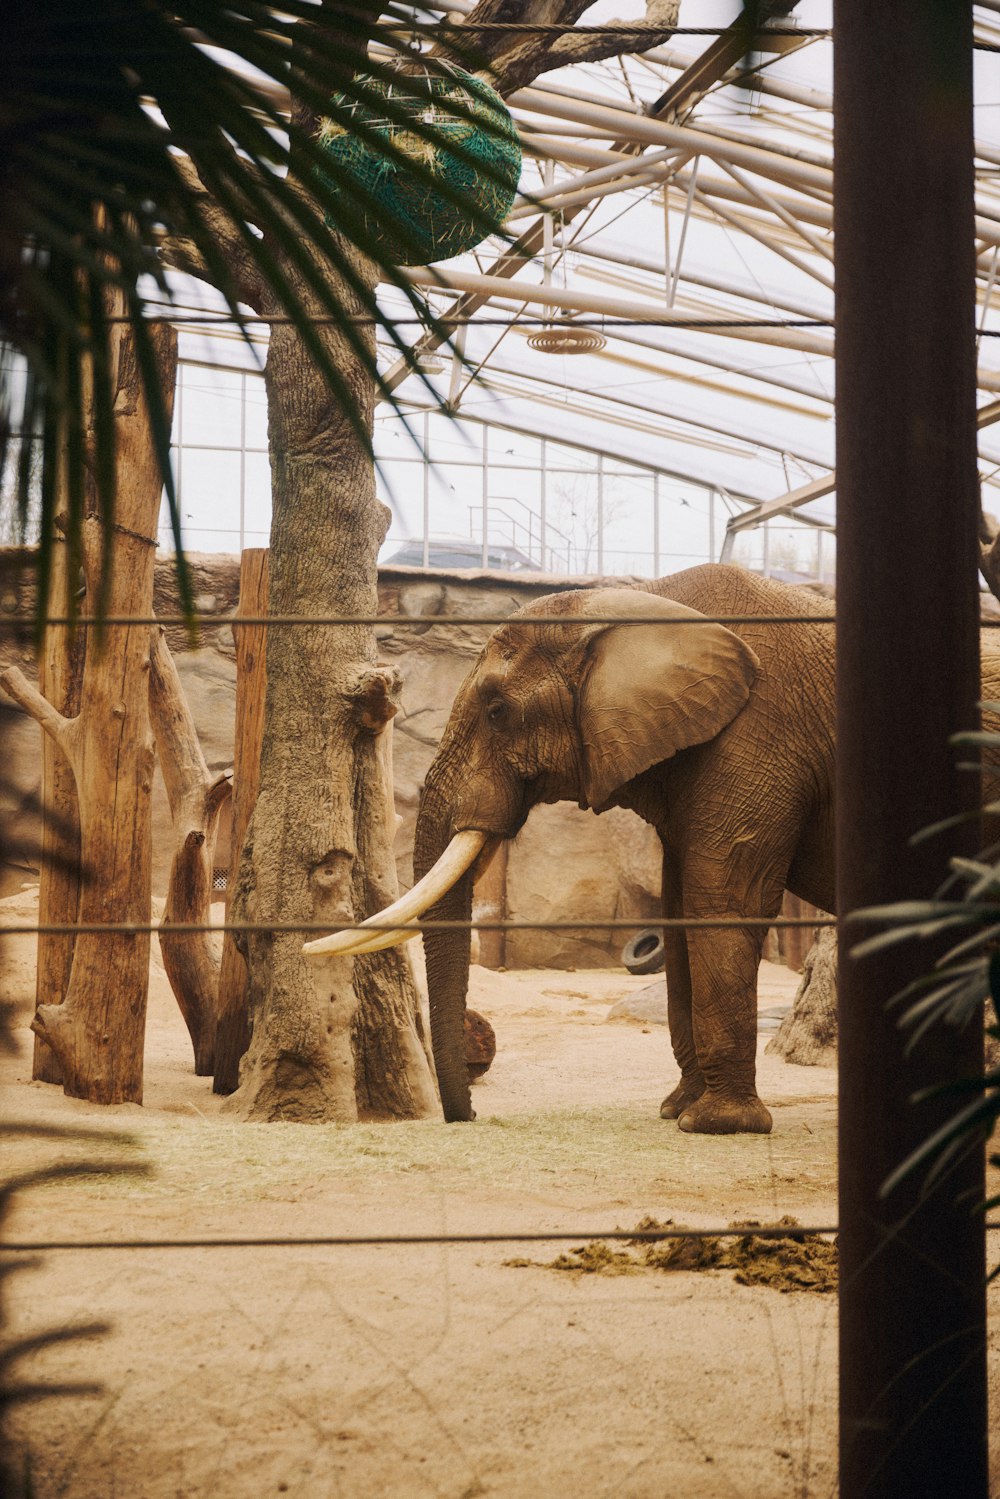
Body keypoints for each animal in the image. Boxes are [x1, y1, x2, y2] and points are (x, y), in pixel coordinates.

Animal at [308, 563, 995, 1133]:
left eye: (499, 711)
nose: (469, 1116)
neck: (641, 600)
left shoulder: (756, 736)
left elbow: (723, 905)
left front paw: (717, 1125)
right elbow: (680, 910)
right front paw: (679, 1109)